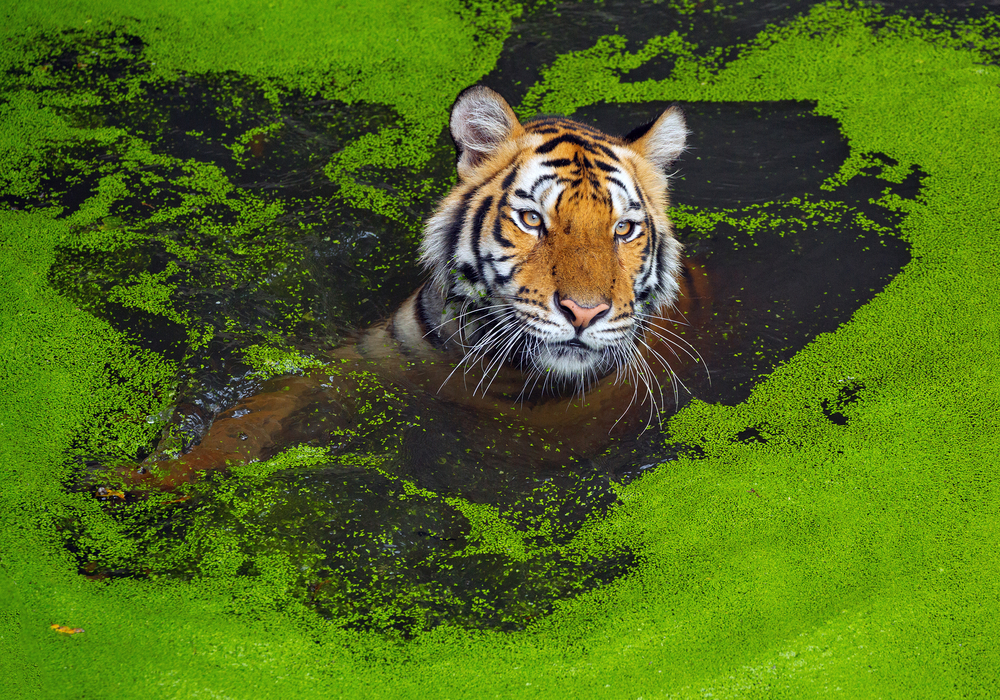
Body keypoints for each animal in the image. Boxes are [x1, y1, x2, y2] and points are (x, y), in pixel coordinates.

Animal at [117, 86, 697, 490]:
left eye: (624, 229)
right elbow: (256, 413)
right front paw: (145, 479)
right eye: (533, 219)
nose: (584, 312)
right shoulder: (356, 364)